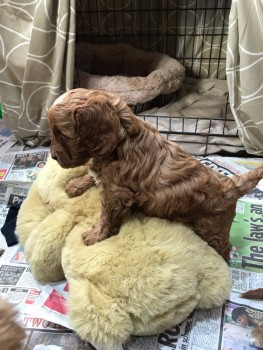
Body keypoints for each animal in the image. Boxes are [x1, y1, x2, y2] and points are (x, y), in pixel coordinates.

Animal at [48, 89, 263, 262]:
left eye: (64, 135)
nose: (52, 156)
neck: (121, 140)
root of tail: (230, 184)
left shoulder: (117, 193)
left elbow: (107, 216)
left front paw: (96, 235)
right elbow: (92, 172)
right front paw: (76, 184)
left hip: (213, 228)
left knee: (224, 247)